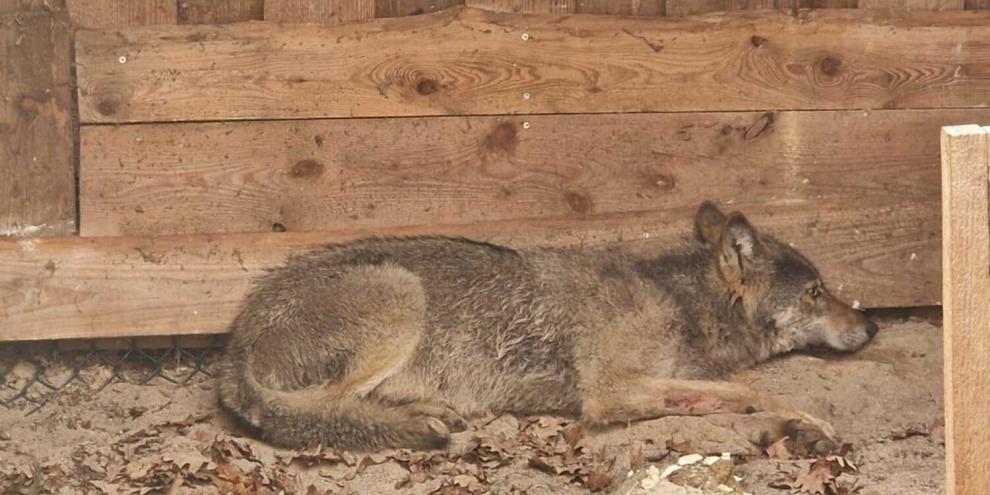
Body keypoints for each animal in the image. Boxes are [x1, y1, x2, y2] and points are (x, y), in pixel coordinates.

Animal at [217, 201, 878, 452]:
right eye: (817, 292)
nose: (872, 326)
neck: (677, 301)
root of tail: (233, 344)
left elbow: (727, 392)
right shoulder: (609, 391)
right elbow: (748, 391)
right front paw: (808, 422)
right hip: (401, 294)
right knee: (317, 411)